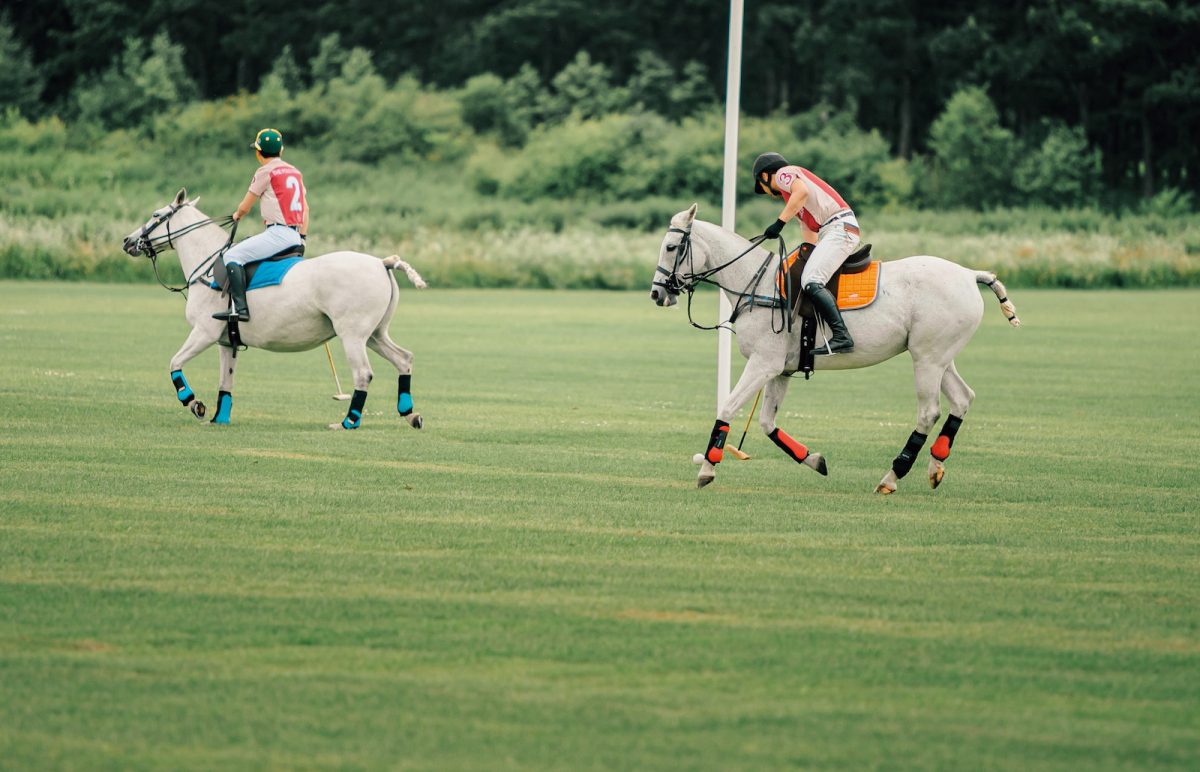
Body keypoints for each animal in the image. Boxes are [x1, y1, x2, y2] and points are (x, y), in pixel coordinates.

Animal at [121, 186, 429, 429]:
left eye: (156, 215)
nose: (127, 241)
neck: (207, 266)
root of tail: (381, 262)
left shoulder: (204, 332)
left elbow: (174, 363)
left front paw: (194, 403)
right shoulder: (226, 341)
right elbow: (225, 382)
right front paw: (220, 418)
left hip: (352, 334)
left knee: (363, 373)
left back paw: (348, 421)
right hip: (375, 333)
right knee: (404, 358)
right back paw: (410, 413)